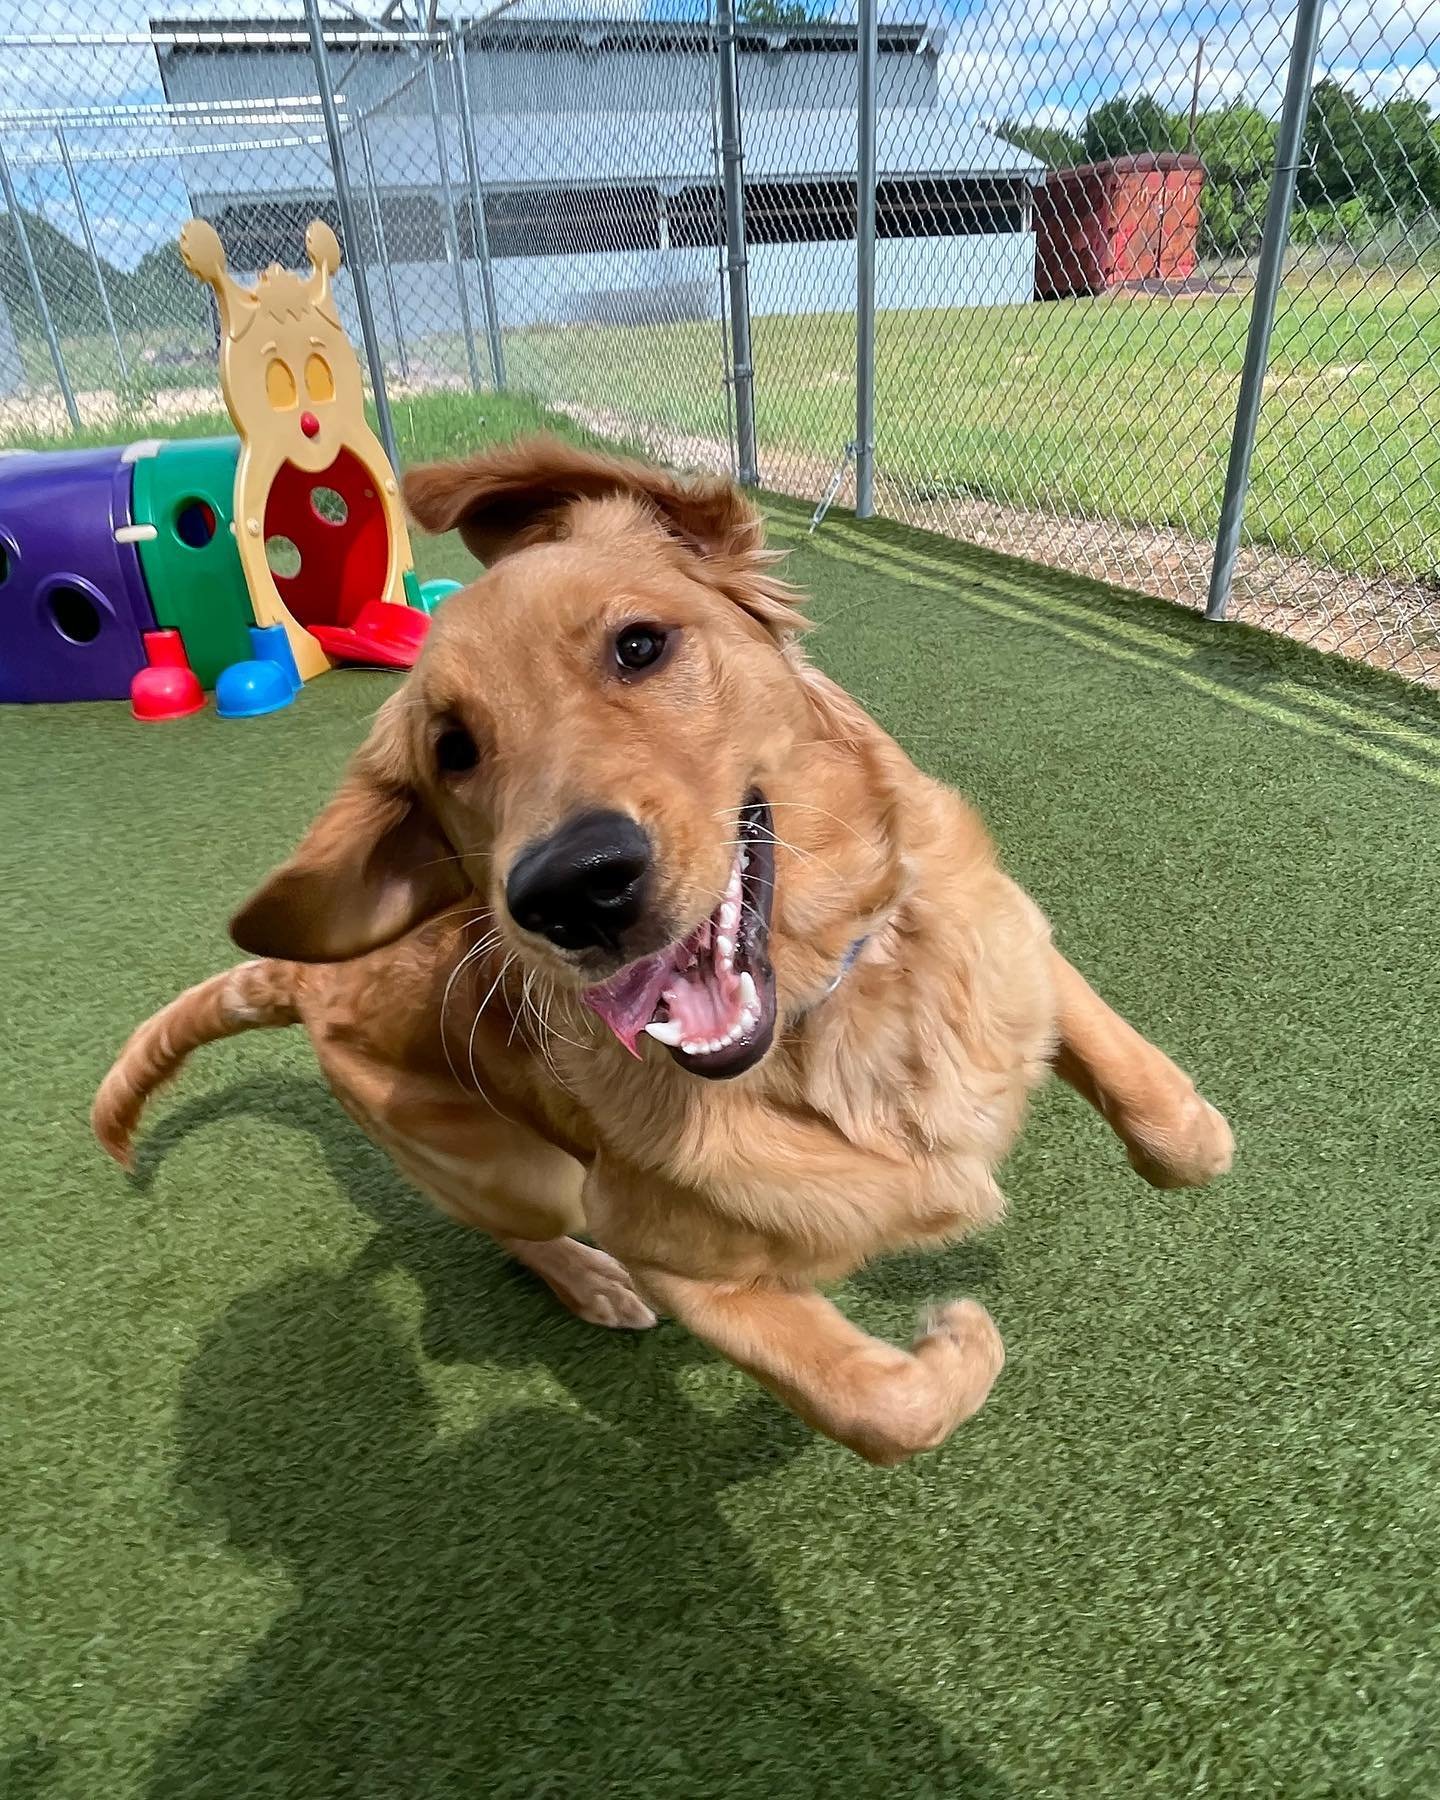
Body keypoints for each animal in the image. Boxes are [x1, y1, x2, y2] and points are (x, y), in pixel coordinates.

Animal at [95, 432, 1231, 1461]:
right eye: (452, 751)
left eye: (639, 646)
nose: (569, 890)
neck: (831, 1019)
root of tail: (300, 973)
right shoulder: (670, 1251)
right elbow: (881, 1405)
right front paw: (957, 1342)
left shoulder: (1006, 931)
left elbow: (1158, 1110)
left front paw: (1200, 1132)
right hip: (518, 1171)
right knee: (517, 1229)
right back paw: (586, 1283)